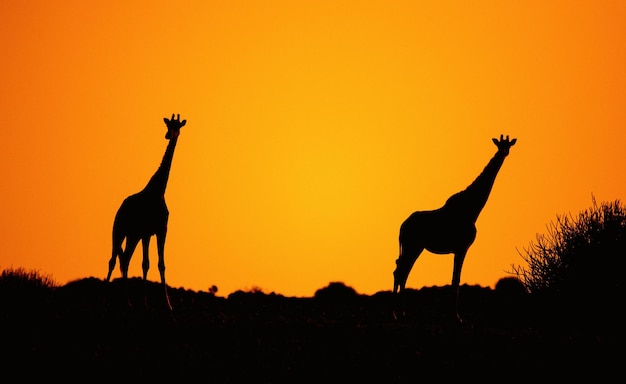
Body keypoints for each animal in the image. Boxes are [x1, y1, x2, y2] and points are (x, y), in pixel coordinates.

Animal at [105, 112, 186, 310]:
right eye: (167, 126)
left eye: (177, 127)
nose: (168, 135)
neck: (157, 193)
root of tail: (120, 207)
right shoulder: (146, 232)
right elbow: (145, 264)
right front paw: (145, 303)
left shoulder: (159, 230)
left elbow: (159, 264)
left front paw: (167, 305)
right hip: (119, 230)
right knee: (113, 260)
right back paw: (105, 300)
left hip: (132, 236)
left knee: (125, 259)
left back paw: (127, 301)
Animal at [392, 134, 516, 320]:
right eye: (500, 145)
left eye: (508, 145)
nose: (504, 152)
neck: (472, 208)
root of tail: (402, 226)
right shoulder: (462, 247)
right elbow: (456, 279)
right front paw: (456, 317)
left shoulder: (460, 248)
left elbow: (455, 279)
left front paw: (455, 315)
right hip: (413, 245)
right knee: (401, 271)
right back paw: (397, 313)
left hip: (413, 246)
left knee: (402, 270)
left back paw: (400, 313)